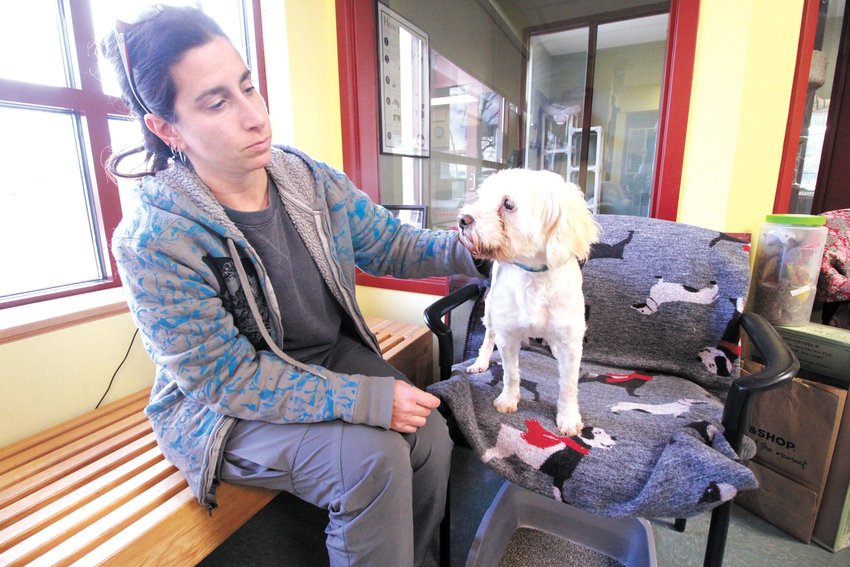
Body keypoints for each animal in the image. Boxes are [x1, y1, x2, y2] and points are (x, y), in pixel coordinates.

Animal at [458, 169, 596, 434]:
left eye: (508, 204)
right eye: (482, 197)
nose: (462, 219)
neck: (535, 278)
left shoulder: (571, 343)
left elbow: (568, 385)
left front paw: (568, 417)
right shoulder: (508, 335)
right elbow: (511, 373)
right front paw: (509, 400)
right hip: (490, 310)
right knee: (487, 338)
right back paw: (481, 362)